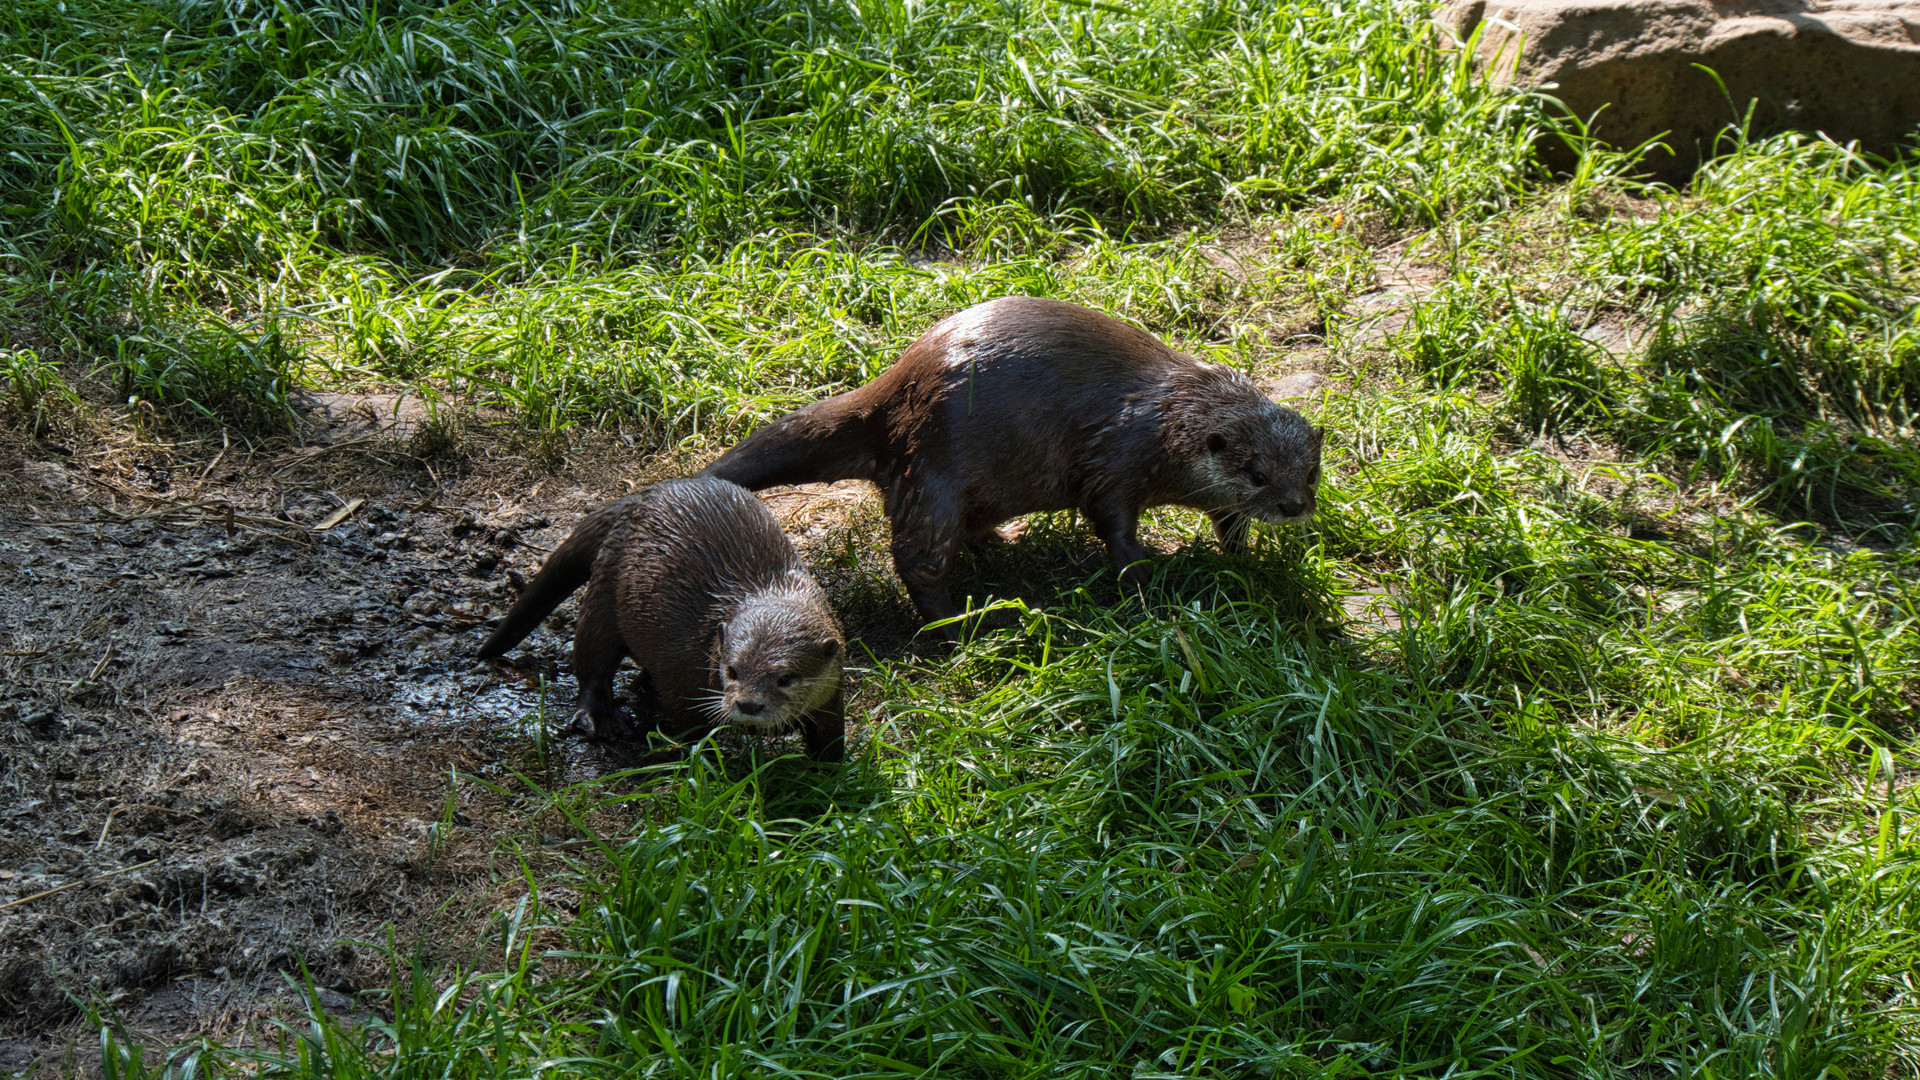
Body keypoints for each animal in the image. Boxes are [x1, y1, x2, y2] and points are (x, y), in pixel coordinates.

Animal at [476, 474, 844, 760]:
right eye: (732, 670)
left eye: (786, 678)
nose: (749, 705)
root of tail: (638, 496)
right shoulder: (684, 680)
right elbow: (691, 732)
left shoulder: (831, 688)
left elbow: (830, 735)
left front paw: (831, 777)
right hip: (604, 594)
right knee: (592, 661)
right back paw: (600, 718)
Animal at [698, 294, 1328, 630]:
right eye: (1257, 473)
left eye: (1310, 472)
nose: (1294, 506)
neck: (1174, 420)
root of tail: (896, 386)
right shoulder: (1118, 459)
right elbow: (1113, 523)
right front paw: (1145, 580)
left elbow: (1229, 522)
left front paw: (1243, 556)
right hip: (932, 470)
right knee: (918, 560)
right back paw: (962, 626)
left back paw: (1003, 546)